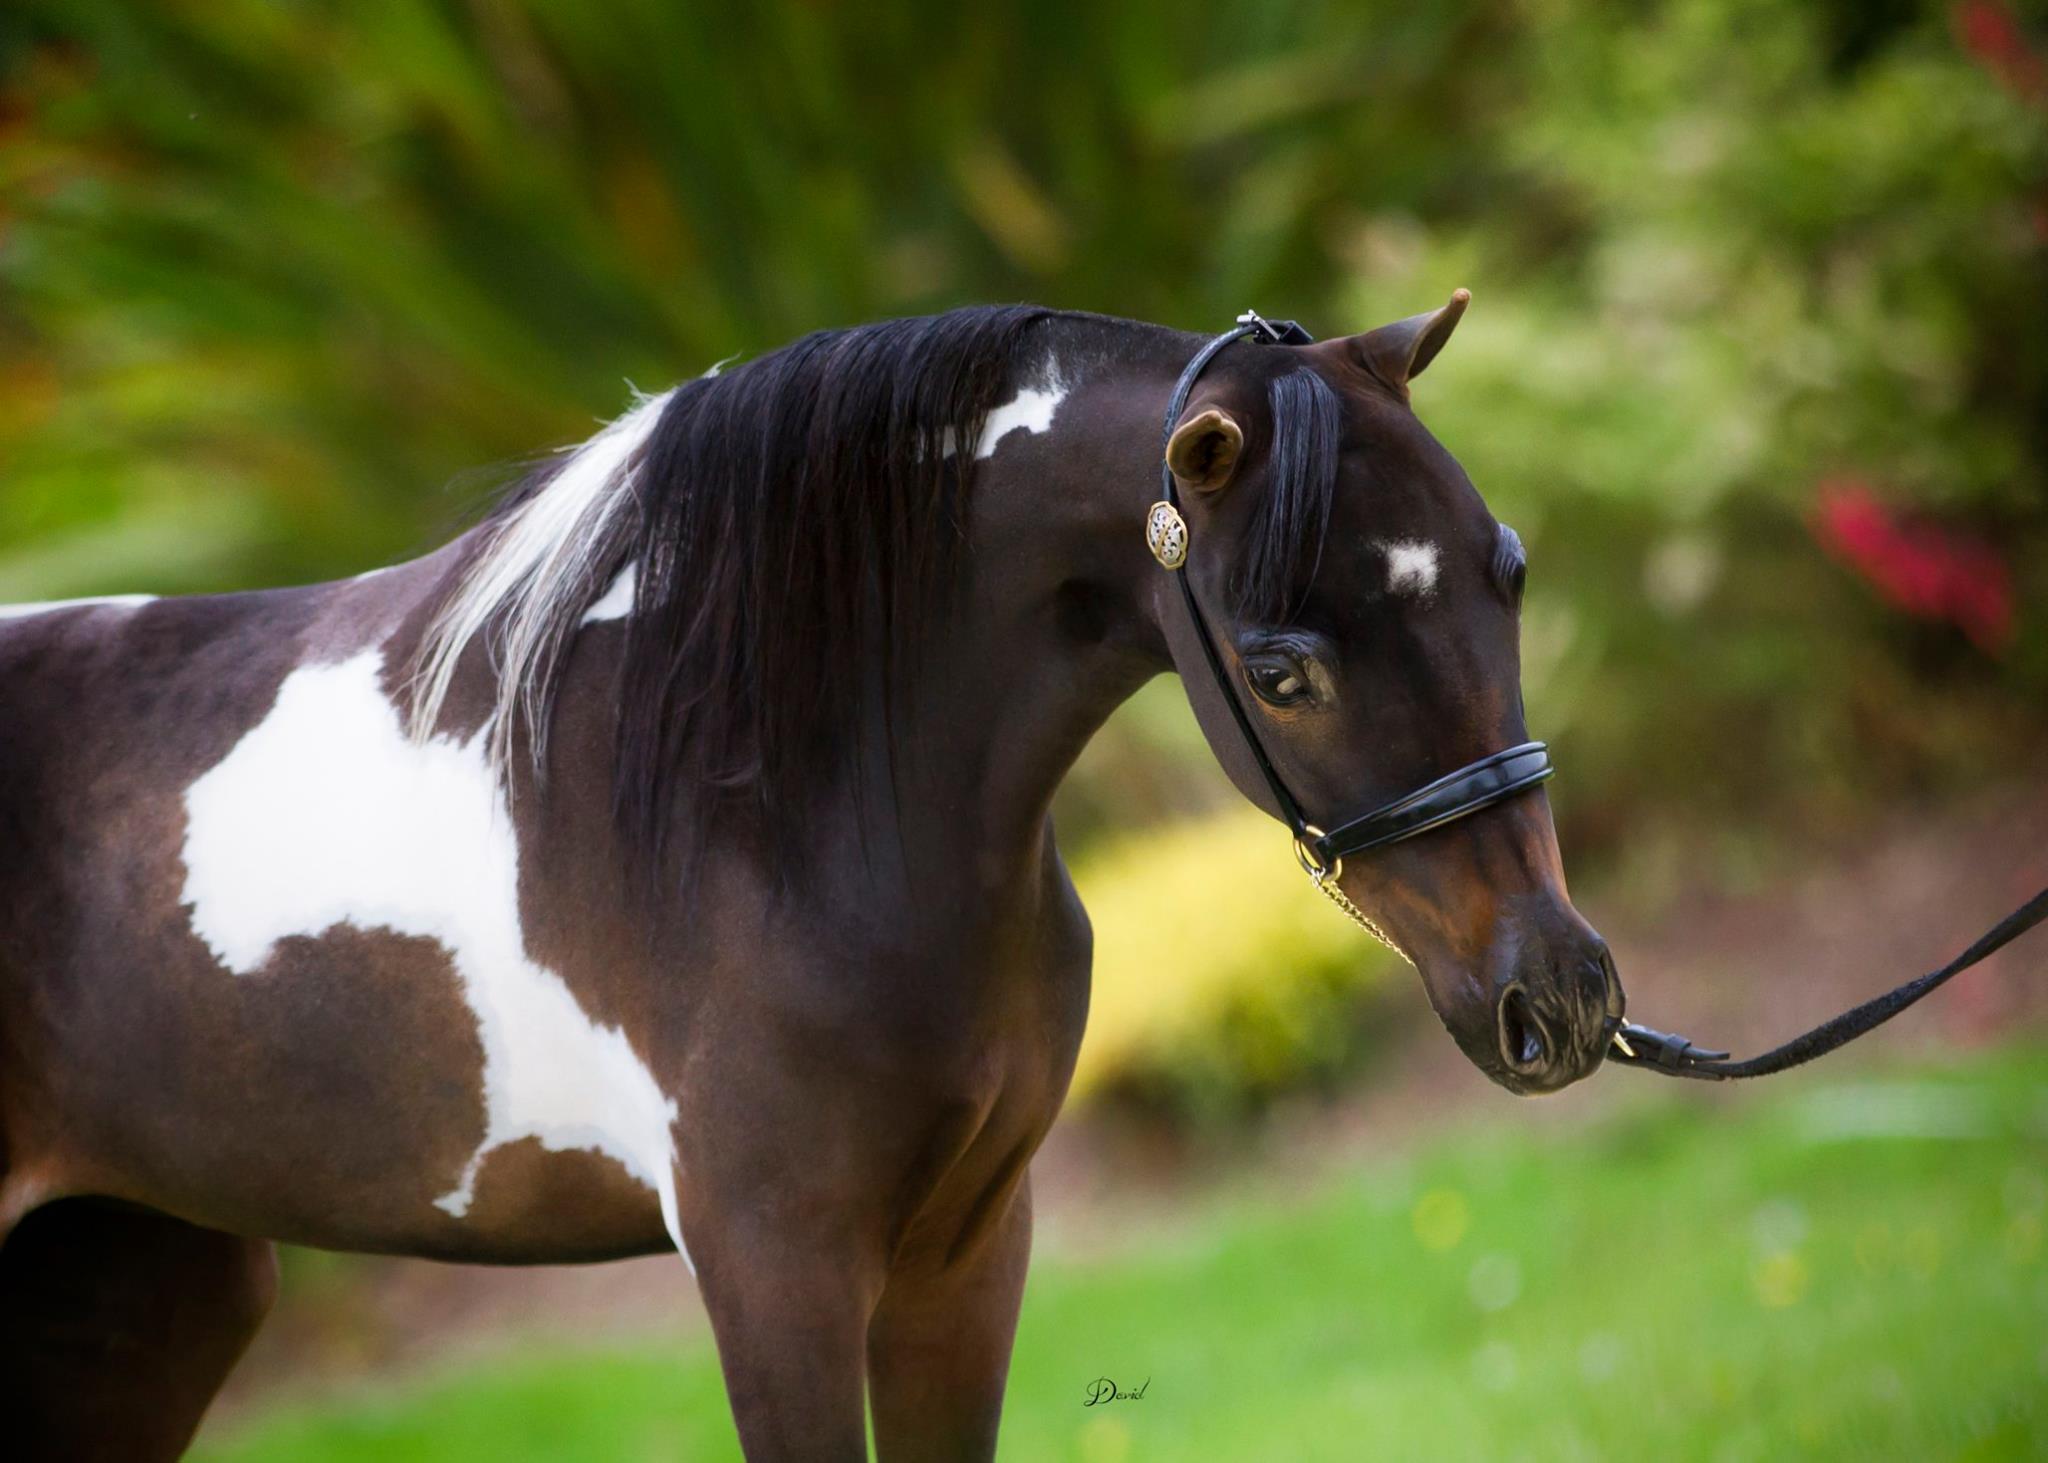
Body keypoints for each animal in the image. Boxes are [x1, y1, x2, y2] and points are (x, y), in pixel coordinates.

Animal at [0, 292, 1621, 1460]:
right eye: (1282, 671)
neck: (765, 810)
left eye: (1508, 571)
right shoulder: (772, 1265)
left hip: (142, 1287)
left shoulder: (965, 1248)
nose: (1558, 995)